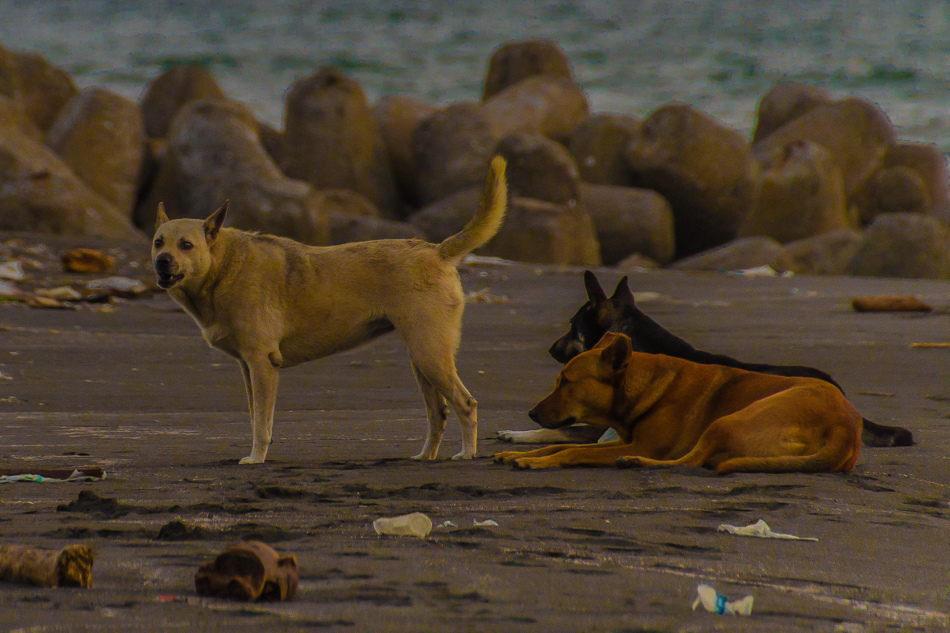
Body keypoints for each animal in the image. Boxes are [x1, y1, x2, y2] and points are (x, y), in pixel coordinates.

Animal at [152, 156, 510, 462]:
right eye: (158, 242)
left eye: (186, 245)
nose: (161, 261)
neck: (223, 267)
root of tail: (437, 250)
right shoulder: (246, 367)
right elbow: (256, 416)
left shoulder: (262, 363)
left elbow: (262, 423)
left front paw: (256, 458)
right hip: (421, 360)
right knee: (439, 413)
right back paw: (426, 456)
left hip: (430, 355)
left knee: (466, 403)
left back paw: (467, 453)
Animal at [498, 334, 864, 472]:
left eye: (566, 382)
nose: (531, 413)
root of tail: (846, 426)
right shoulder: (623, 438)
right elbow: (555, 445)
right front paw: (519, 453)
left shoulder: (643, 444)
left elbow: (573, 451)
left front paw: (538, 461)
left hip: (729, 420)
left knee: (689, 463)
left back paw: (636, 463)